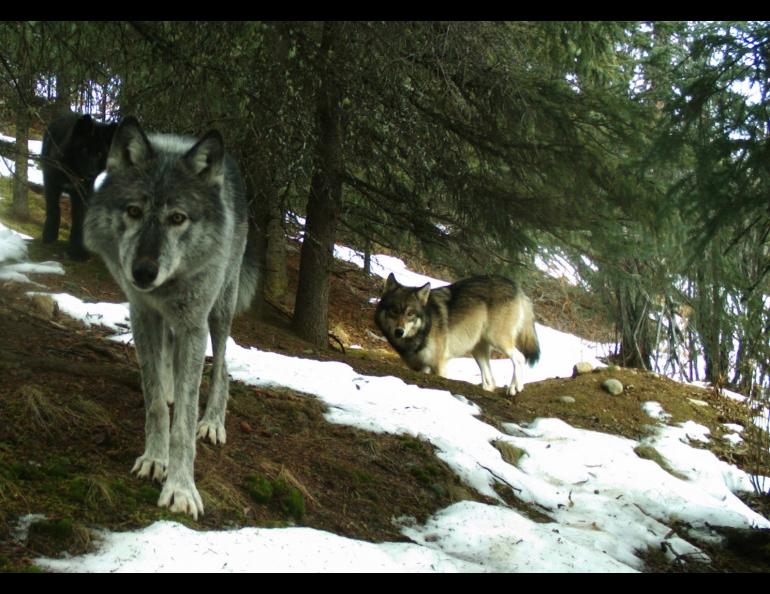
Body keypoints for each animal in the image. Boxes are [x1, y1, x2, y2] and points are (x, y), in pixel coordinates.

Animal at [41, 112, 118, 258]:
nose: (91, 174)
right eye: (84, 150)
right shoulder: (51, 183)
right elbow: (54, 209)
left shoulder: (83, 193)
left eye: (99, 154)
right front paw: (49, 236)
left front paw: (77, 251)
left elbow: (79, 219)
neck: (72, 172)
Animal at [83, 114, 258, 512]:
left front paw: (180, 488)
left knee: (222, 367)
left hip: (219, 313)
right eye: (134, 211)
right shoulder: (143, 313)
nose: (143, 272)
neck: (168, 286)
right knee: (169, 366)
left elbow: (184, 425)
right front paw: (154, 459)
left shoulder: (194, 325)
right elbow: (155, 404)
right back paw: (170, 389)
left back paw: (212, 422)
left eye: (178, 218)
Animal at [376, 272, 536, 394]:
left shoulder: (439, 365)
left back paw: (515, 388)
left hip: (497, 340)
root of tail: (517, 288)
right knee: (491, 382)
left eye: (410, 313)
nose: (399, 331)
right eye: (394, 310)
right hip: (478, 350)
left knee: (520, 358)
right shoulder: (421, 368)